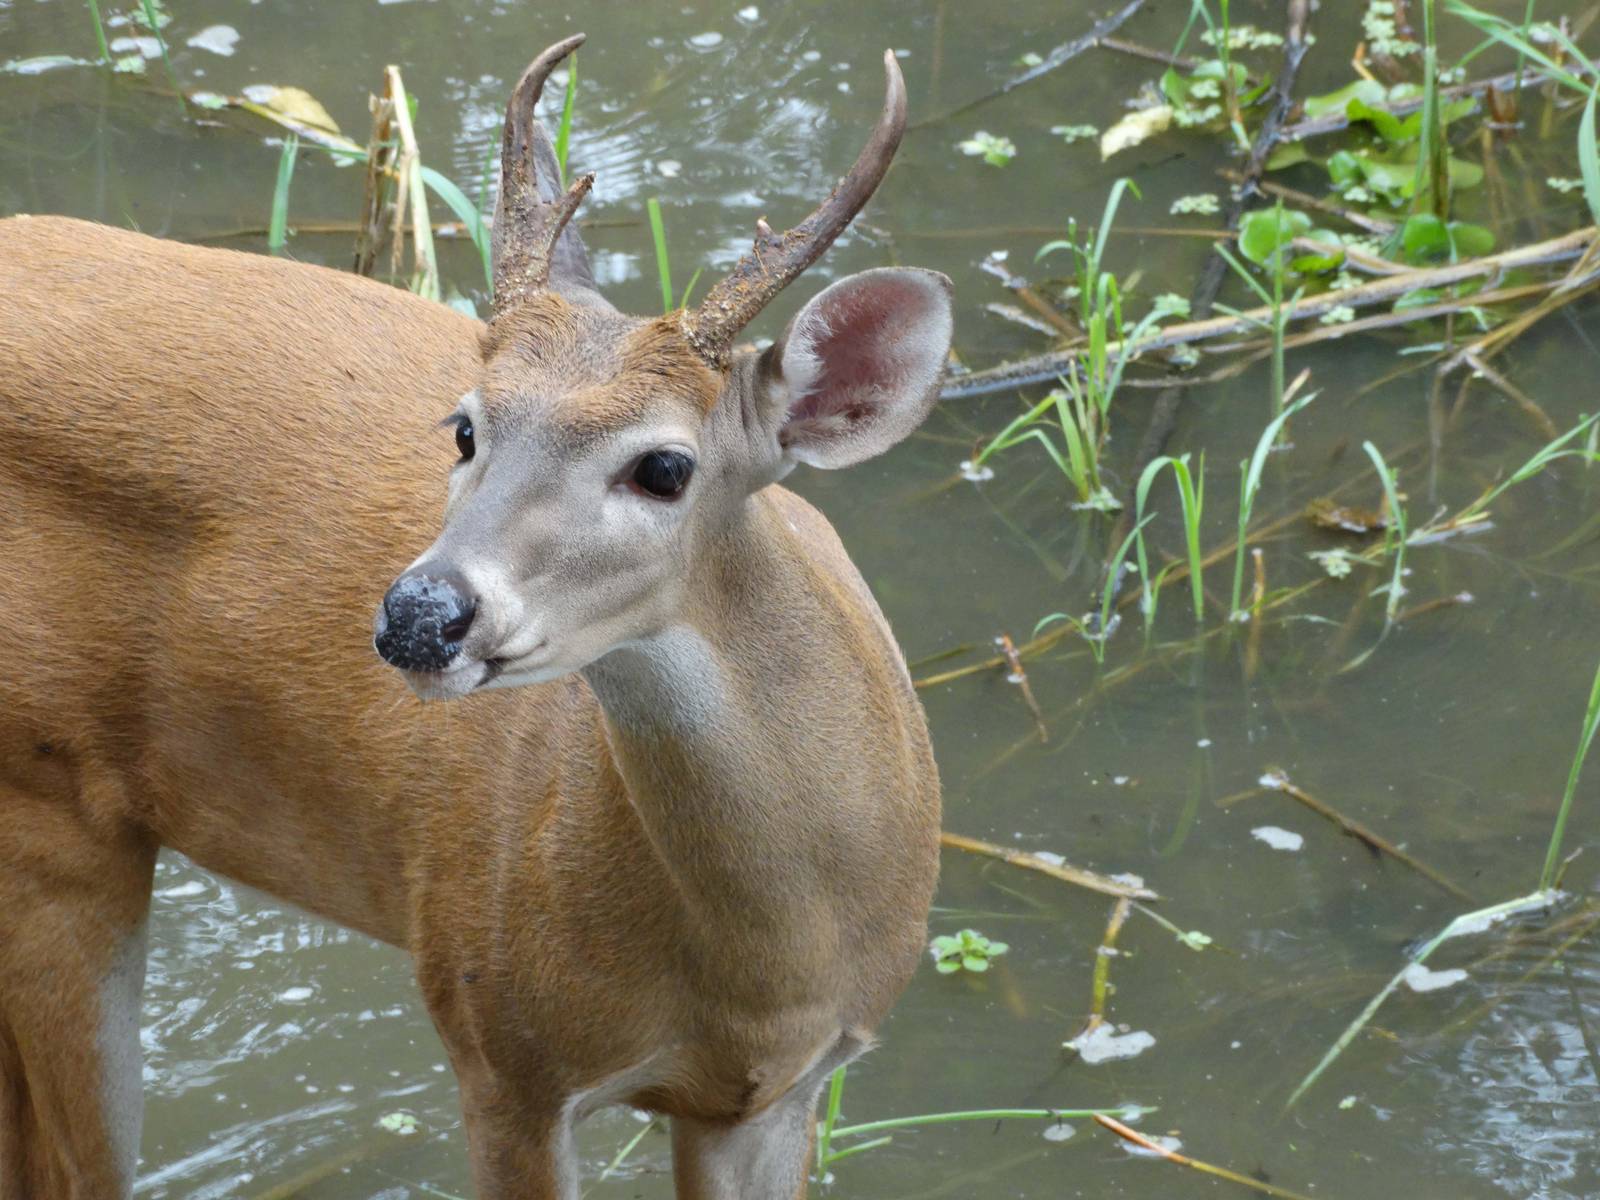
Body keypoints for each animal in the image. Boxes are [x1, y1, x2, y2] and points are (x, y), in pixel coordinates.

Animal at [0, 31, 951, 1200]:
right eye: (463, 428)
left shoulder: (782, 1088)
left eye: (666, 467)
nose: (420, 613)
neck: (767, 963)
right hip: (48, 816)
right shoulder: (500, 1043)